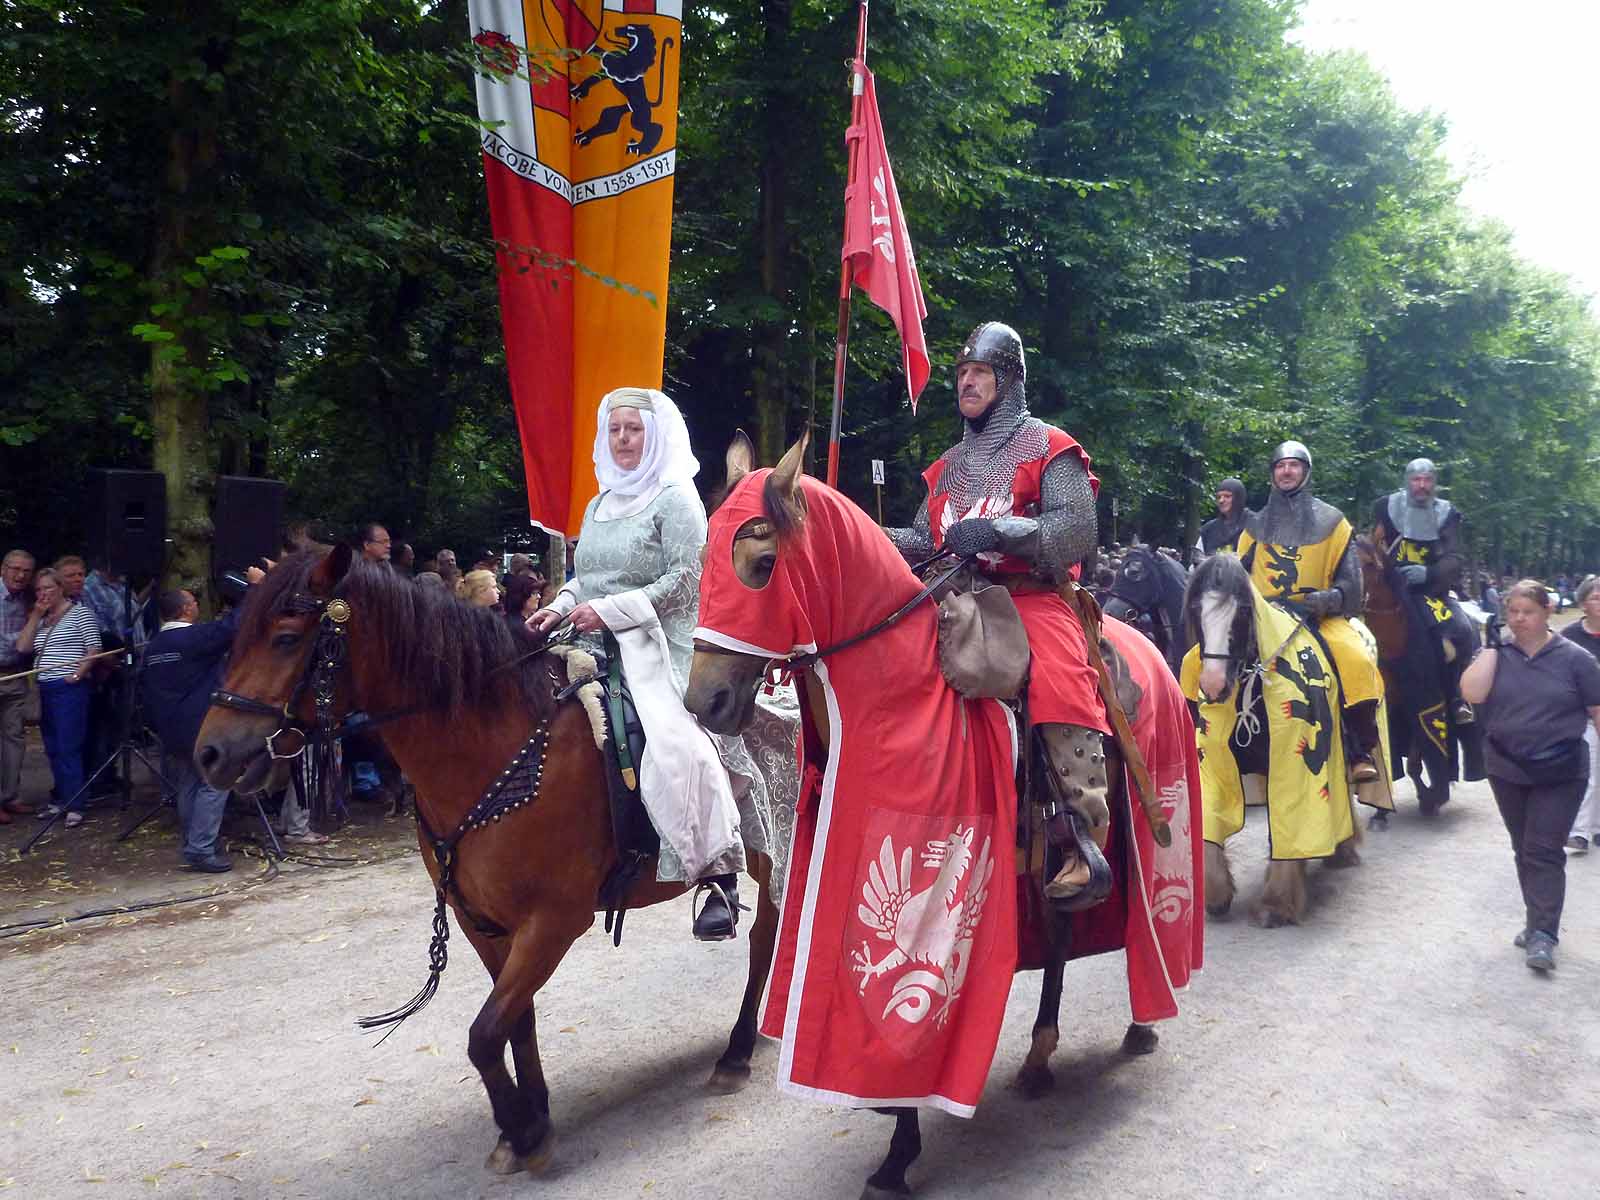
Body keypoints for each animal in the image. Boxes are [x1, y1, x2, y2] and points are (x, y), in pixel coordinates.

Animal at [196, 553, 784, 1184]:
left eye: (285, 638)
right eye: (236, 637)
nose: (210, 754)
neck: (497, 752)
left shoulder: (553, 922)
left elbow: (482, 1035)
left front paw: (524, 1131)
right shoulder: (483, 922)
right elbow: (513, 1021)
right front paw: (532, 1118)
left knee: (765, 937)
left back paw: (738, 1049)